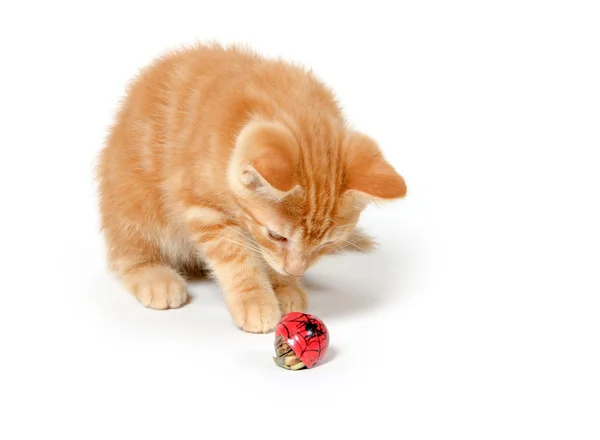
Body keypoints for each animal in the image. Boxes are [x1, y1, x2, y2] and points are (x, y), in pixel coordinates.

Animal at [97, 44, 408, 334]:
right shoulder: (201, 207)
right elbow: (235, 256)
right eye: (276, 235)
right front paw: (255, 301)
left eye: (327, 244)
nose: (296, 270)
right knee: (128, 253)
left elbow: (267, 259)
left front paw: (284, 285)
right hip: (134, 203)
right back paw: (154, 277)